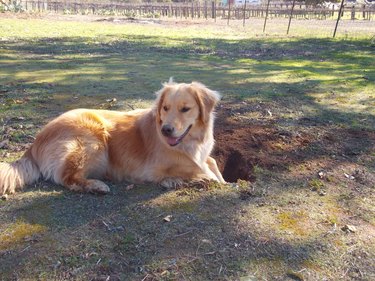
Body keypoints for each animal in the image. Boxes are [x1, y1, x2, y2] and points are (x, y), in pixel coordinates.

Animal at [0, 80, 226, 194]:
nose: (166, 130)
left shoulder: (203, 157)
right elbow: (197, 172)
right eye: (165, 108)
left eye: (185, 109)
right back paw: (96, 186)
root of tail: (34, 143)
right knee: (65, 177)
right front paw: (186, 180)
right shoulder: (151, 170)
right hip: (93, 140)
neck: (190, 143)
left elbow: (212, 163)